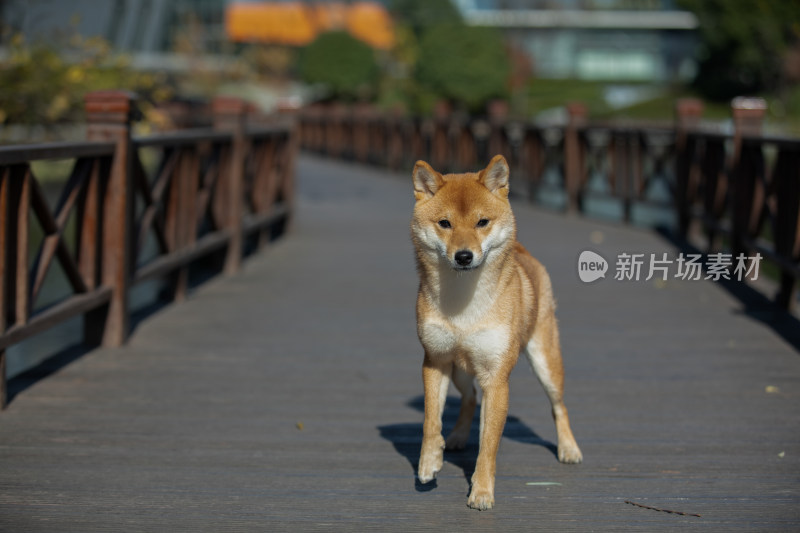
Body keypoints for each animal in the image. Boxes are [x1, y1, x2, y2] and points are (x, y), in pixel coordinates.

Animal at [412, 153, 580, 508]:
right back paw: (457, 436)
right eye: (445, 223)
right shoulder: (435, 360)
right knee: (470, 398)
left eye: (482, 222)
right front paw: (429, 463)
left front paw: (482, 491)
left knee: (559, 406)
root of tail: (524, 251)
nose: (464, 256)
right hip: (460, 370)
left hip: (545, 362)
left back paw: (569, 448)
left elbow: (488, 444)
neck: (463, 307)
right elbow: (431, 421)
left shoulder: (497, 378)